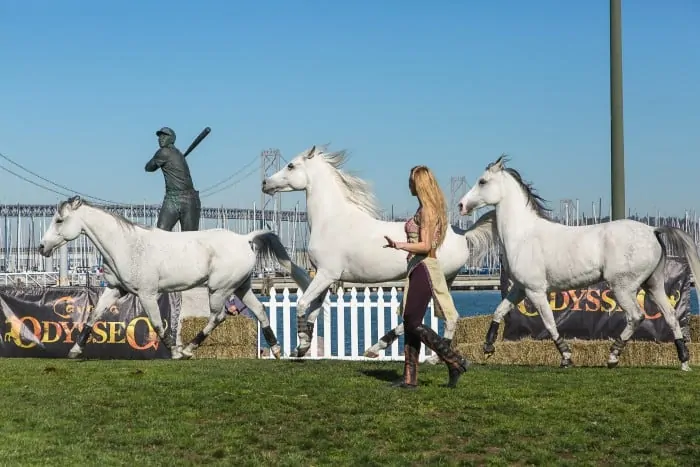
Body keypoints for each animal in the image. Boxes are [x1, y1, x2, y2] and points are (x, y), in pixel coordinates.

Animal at [37, 196, 312, 360]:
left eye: (59, 220)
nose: (41, 247)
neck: (125, 245)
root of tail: (245, 239)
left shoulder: (147, 294)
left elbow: (158, 323)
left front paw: (174, 351)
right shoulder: (115, 289)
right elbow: (93, 316)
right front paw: (75, 350)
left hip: (219, 290)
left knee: (218, 316)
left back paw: (189, 349)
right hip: (241, 287)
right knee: (261, 312)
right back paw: (276, 349)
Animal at [262, 146, 498, 362]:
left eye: (291, 165)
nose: (265, 183)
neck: (331, 221)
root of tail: (463, 233)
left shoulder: (326, 274)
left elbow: (302, 304)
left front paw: (301, 344)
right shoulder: (324, 277)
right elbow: (314, 310)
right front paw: (302, 348)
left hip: (435, 281)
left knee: (448, 316)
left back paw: (434, 358)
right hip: (444, 282)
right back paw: (376, 347)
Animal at [460, 155, 700, 372]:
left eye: (482, 181)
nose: (462, 205)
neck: (523, 235)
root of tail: (652, 230)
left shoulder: (535, 290)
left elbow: (549, 322)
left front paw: (566, 357)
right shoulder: (520, 288)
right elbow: (499, 311)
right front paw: (488, 346)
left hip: (623, 287)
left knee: (636, 316)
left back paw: (613, 357)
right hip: (653, 285)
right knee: (671, 317)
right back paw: (684, 361)